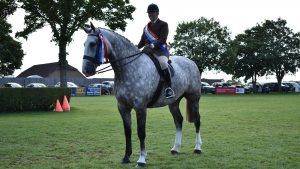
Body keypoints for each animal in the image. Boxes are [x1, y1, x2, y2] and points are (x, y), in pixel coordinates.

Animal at [82, 24, 203, 167]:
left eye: (93, 44)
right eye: (84, 44)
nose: (86, 70)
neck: (129, 68)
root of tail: (192, 62)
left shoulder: (140, 107)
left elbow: (141, 132)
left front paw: (141, 160)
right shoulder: (123, 107)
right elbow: (127, 131)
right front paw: (126, 157)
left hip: (193, 98)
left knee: (197, 121)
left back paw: (197, 148)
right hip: (173, 102)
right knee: (178, 120)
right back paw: (175, 148)